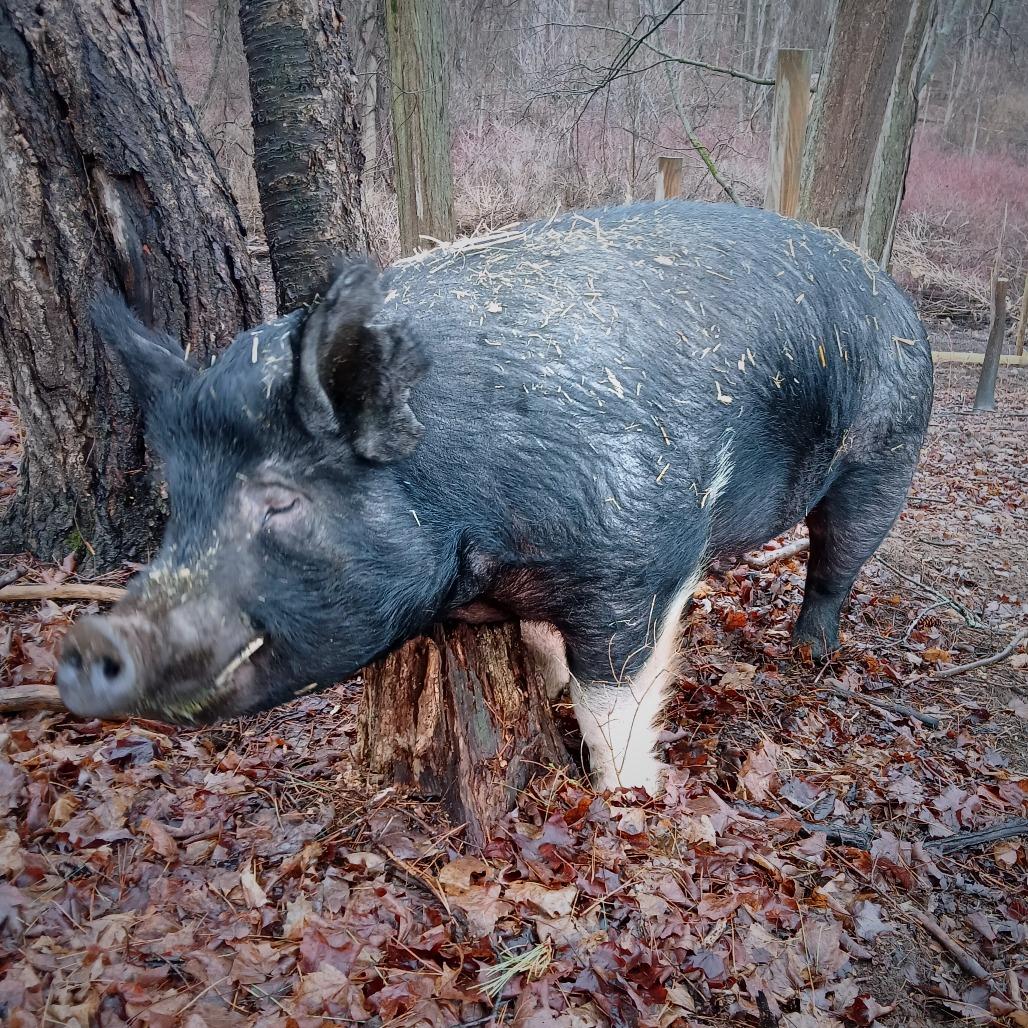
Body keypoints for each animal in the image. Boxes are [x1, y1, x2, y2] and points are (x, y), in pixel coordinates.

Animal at [57, 200, 934, 793]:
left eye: (278, 501)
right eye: (180, 499)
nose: (92, 637)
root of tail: (897, 297)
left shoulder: (641, 556)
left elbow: (613, 699)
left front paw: (627, 800)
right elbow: (548, 653)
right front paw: (545, 685)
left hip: (887, 454)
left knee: (836, 560)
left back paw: (809, 654)